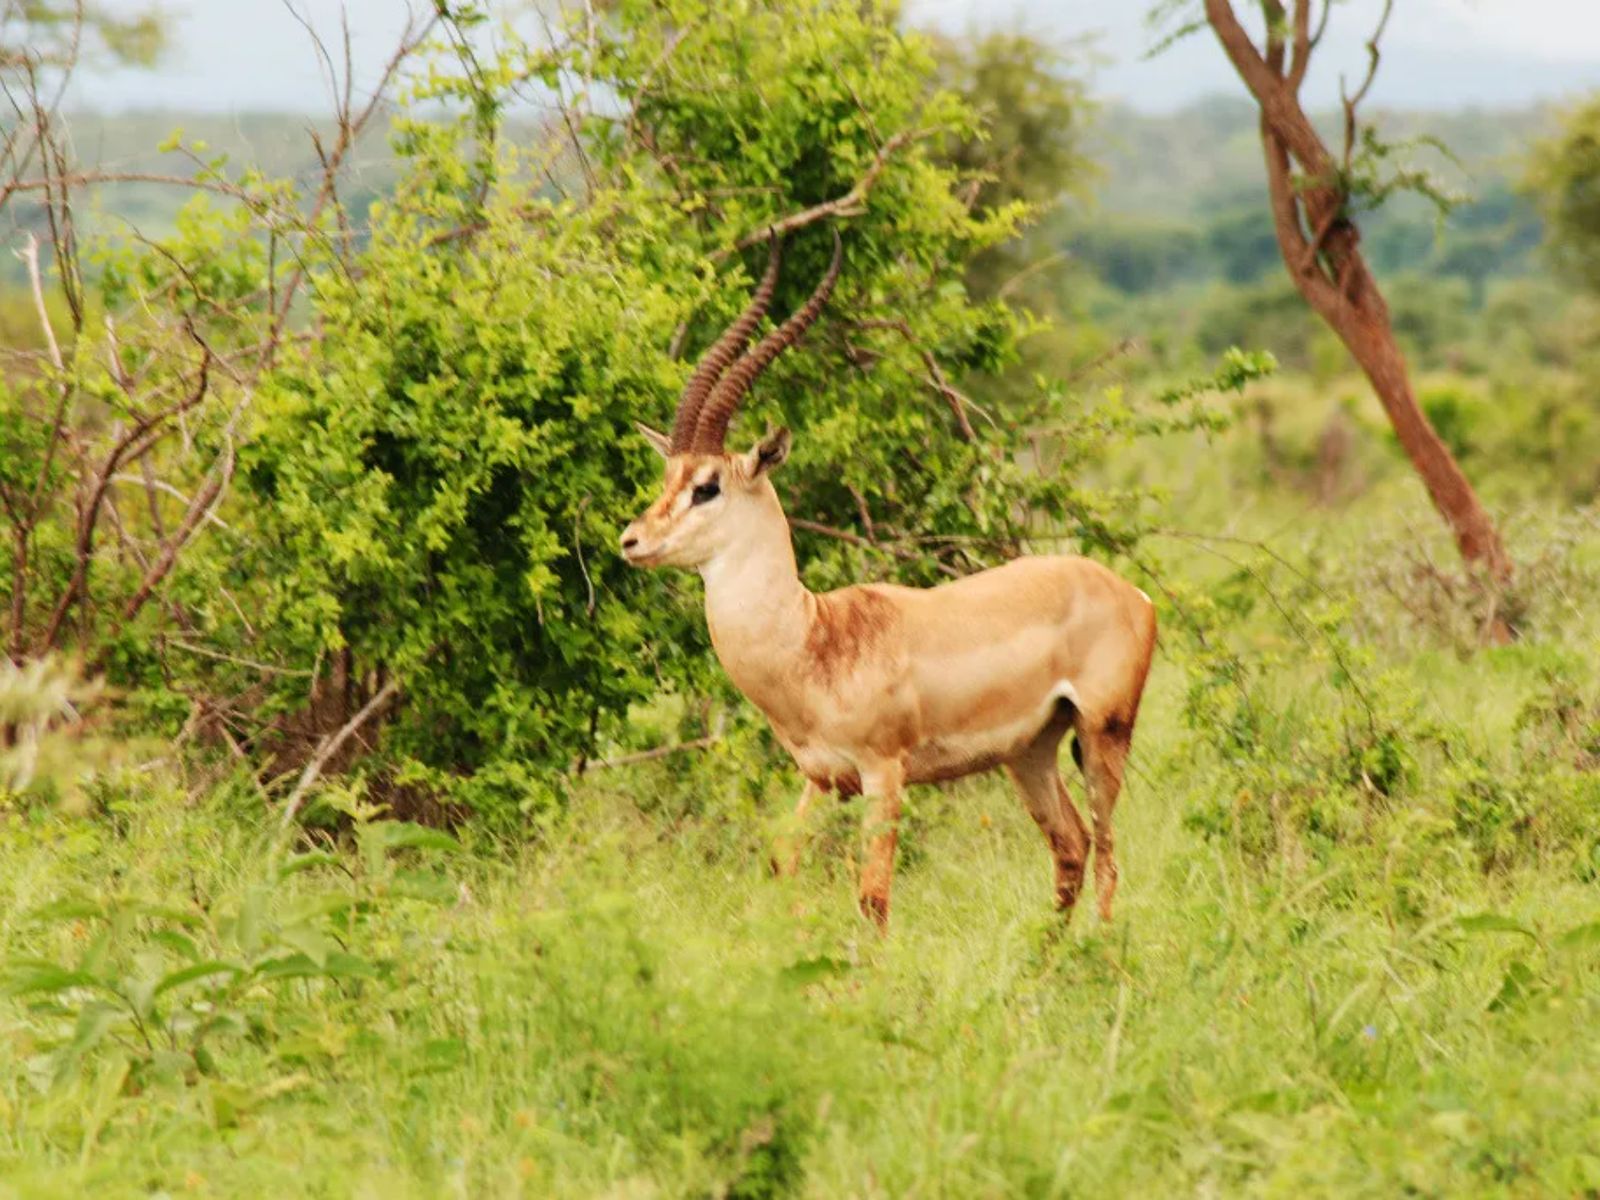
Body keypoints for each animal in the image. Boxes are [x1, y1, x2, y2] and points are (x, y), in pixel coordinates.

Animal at [617, 232, 1158, 928]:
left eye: (707, 486)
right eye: (668, 478)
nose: (632, 541)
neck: (812, 640)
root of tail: (1130, 592)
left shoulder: (883, 771)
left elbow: (873, 897)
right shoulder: (823, 778)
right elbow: (781, 860)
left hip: (1101, 736)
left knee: (1109, 856)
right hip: (1029, 751)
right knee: (1072, 844)